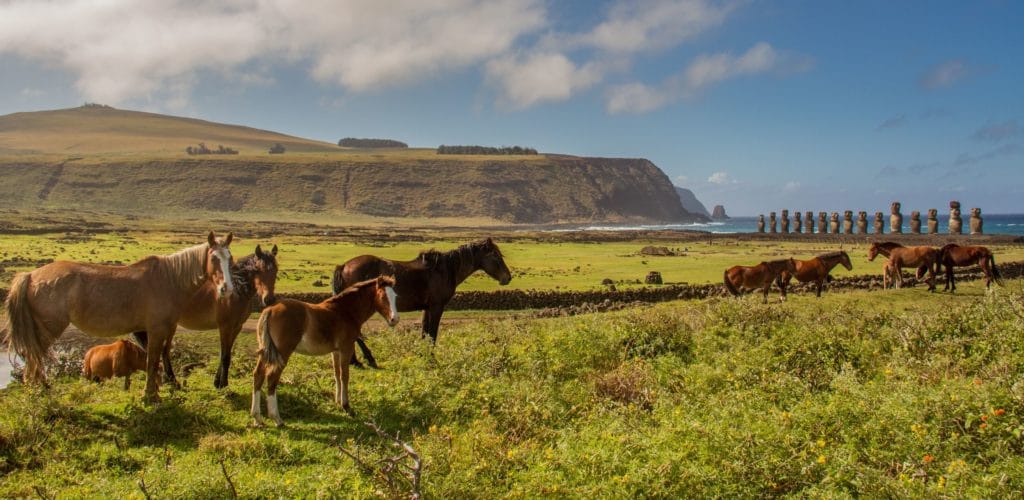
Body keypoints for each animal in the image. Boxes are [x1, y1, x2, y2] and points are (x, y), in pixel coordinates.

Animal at [3, 231, 234, 401]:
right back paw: (40, 390)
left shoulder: (160, 328)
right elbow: (152, 360)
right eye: (214, 258)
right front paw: (150, 395)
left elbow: (156, 359)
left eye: (230, 259)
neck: (169, 279)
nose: (227, 288)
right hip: (47, 329)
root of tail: (31, 275)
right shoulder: (156, 329)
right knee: (34, 357)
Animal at [136, 243, 282, 389]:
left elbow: (226, 353)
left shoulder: (237, 327)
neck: (235, 291)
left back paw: (170, 381)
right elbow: (225, 356)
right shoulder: (225, 327)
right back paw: (172, 381)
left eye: (275, 270)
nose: (269, 299)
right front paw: (222, 383)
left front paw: (218, 381)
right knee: (163, 350)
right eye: (258, 270)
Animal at [251, 272, 399, 426]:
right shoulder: (346, 348)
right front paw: (346, 406)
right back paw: (277, 419)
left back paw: (257, 418)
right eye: (382, 296)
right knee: (272, 377)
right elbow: (345, 376)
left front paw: (338, 401)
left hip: (265, 352)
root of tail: (270, 309)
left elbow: (336, 374)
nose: (394, 319)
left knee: (258, 375)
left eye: (395, 296)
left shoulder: (336, 351)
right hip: (283, 353)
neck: (345, 311)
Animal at [333, 238, 516, 366]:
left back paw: (355, 361)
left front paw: (422, 355)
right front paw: (431, 359)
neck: (444, 270)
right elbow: (432, 333)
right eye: (495, 255)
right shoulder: (436, 307)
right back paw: (367, 359)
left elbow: (425, 332)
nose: (507, 278)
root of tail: (344, 266)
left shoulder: (426, 308)